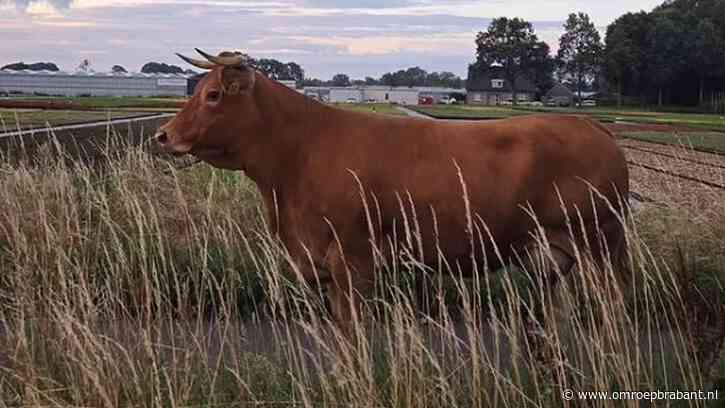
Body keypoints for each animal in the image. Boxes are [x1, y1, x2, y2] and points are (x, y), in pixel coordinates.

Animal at [155, 49, 629, 344]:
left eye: (213, 94)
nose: (163, 135)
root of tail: (591, 126)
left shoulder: (353, 263)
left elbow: (353, 336)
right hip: (555, 255)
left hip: (599, 245)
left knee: (612, 309)